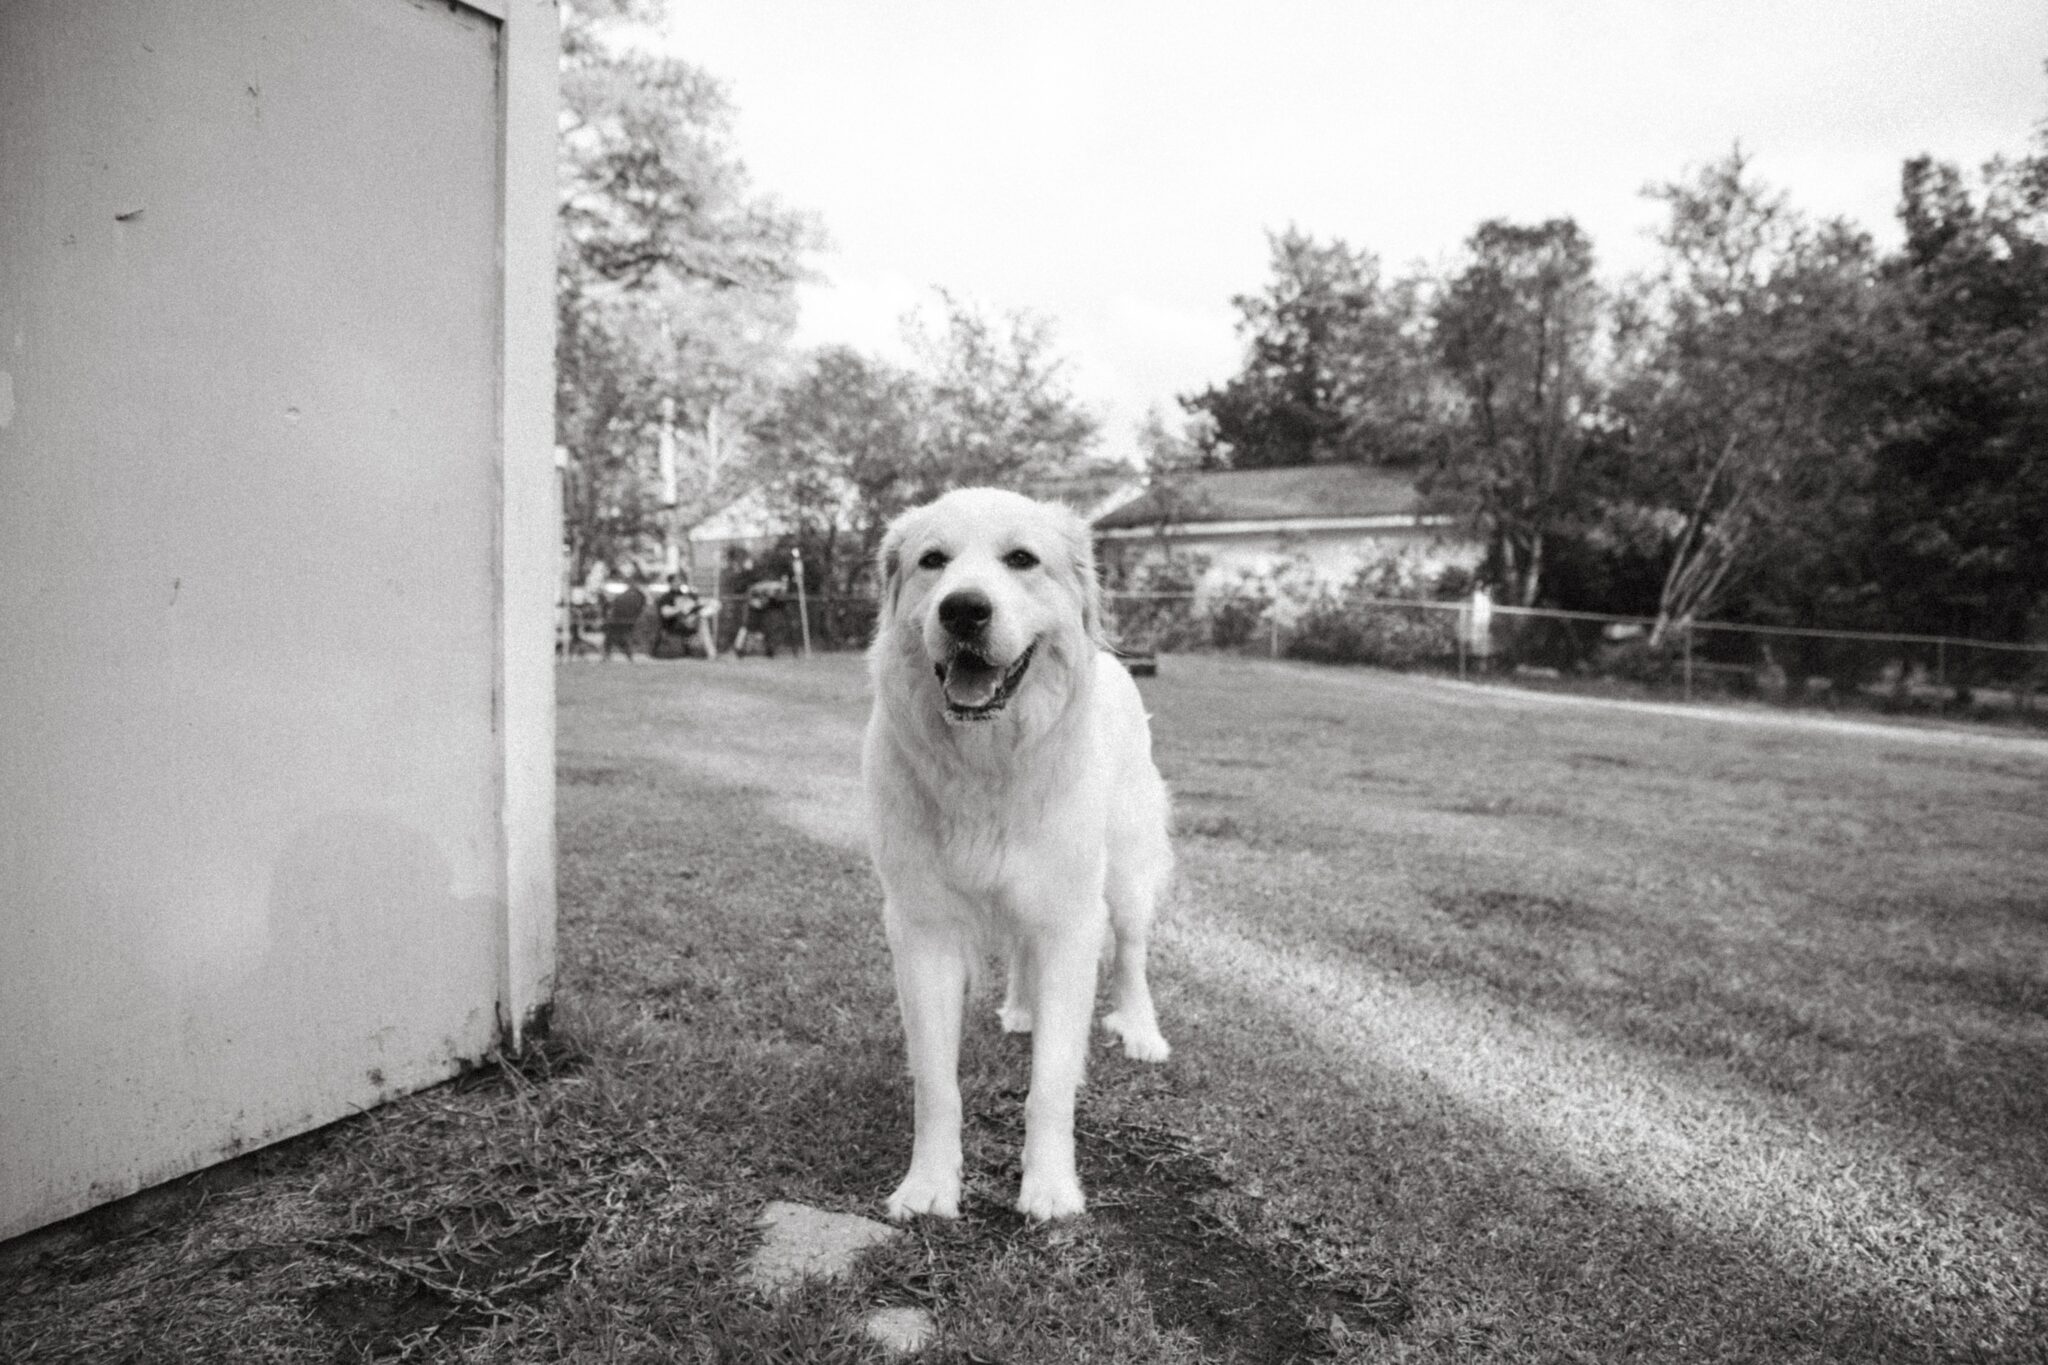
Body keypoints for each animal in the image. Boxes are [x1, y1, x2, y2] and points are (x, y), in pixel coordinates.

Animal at [864, 485, 1179, 1219]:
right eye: (932, 561)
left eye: (1022, 560)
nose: (963, 608)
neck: (988, 764)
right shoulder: (923, 931)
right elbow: (936, 1084)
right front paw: (929, 1185)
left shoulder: (1070, 923)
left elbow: (1052, 1085)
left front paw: (1051, 1188)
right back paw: (1022, 1009)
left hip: (1125, 879)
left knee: (1130, 956)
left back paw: (1141, 1031)